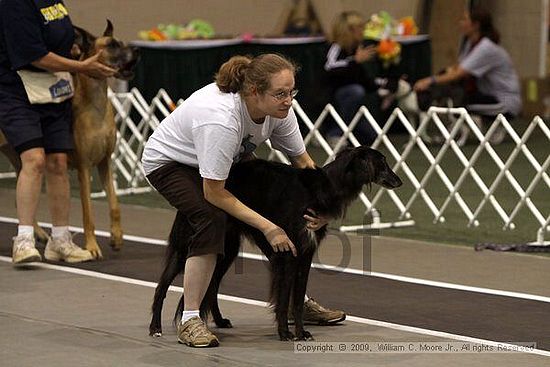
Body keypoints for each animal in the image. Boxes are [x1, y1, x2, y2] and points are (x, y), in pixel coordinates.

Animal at [149, 147, 404, 342]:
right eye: (382, 163)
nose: (399, 181)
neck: (322, 188)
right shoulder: (288, 255)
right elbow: (283, 299)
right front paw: (285, 333)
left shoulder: (305, 254)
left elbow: (297, 300)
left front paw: (302, 332)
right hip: (187, 247)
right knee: (162, 287)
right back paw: (155, 328)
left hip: (227, 250)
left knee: (211, 287)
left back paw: (219, 321)